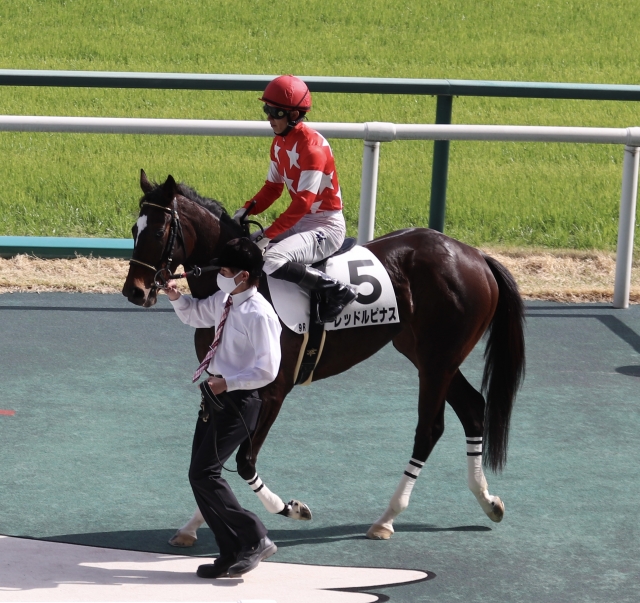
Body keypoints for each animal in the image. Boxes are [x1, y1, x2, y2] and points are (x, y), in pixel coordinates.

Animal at [122, 170, 525, 544]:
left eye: (157, 232)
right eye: (133, 229)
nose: (134, 291)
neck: (234, 290)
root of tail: (476, 256)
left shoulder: (273, 389)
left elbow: (244, 459)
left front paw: (290, 508)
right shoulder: (222, 383)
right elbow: (215, 456)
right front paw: (192, 525)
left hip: (437, 360)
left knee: (429, 429)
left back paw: (387, 518)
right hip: (429, 355)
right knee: (472, 408)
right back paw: (487, 500)